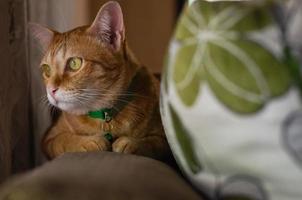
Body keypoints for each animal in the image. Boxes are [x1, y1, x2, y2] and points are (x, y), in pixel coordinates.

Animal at [30, 1, 170, 159]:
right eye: (46, 69)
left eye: (74, 63)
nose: (50, 90)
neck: (104, 115)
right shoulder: (49, 138)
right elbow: (63, 141)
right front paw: (89, 142)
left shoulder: (164, 137)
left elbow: (155, 143)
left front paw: (131, 143)